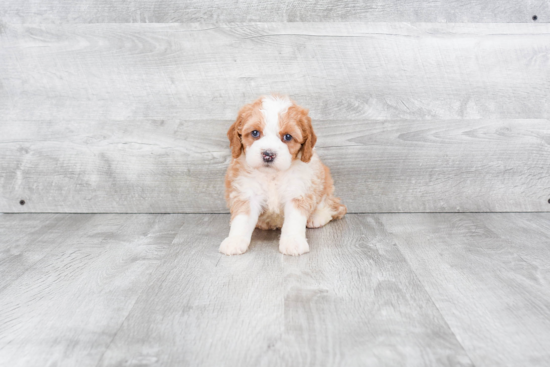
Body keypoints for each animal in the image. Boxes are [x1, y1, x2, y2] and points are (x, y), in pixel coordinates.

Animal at [219, 95, 344, 256]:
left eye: (288, 137)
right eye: (255, 133)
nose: (268, 154)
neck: (272, 175)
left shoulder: (297, 191)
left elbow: (294, 220)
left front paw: (293, 241)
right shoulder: (246, 191)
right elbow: (242, 218)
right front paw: (235, 240)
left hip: (324, 181)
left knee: (331, 204)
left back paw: (316, 217)